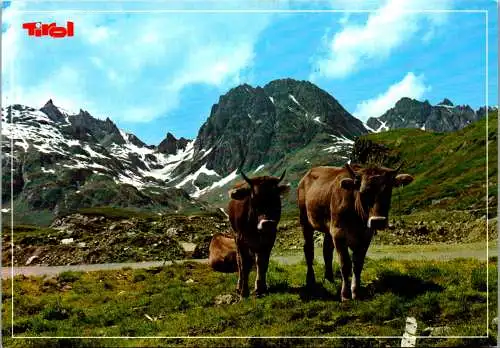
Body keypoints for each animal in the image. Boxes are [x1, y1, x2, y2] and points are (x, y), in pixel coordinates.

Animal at [227, 164, 290, 298]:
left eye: (277, 199)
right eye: (253, 198)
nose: (268, 223)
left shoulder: (270, 237)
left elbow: (263, 262)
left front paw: (261, 288)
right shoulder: (241, 238)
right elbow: (244, 264)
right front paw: (244, 292)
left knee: (256, 260)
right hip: (235, 237)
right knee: (239, 261)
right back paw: (239, 286)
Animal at [296, 162, 414, 300]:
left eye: (388, 191)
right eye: (362, 192)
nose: (378, 221)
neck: (357, 219)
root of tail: (306, 176)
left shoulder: (365, 236)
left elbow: (357, 264)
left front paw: (356, 292)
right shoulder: (338, 233)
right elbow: (345, 265)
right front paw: (345, 295)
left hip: (328, 227)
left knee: (327, 250)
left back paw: (329, 278)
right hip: (305, 221)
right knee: (309, 250)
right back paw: (310, 280)